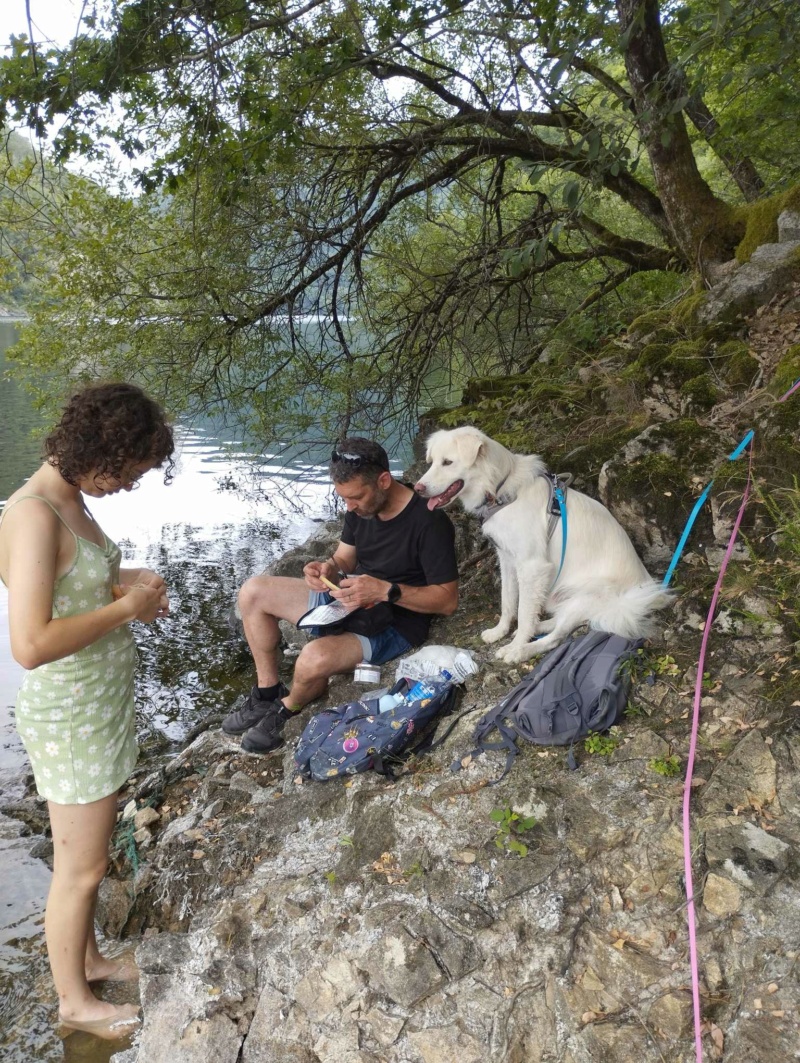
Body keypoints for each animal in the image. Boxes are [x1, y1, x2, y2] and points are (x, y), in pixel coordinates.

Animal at [414, 425, 671, 659]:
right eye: (432, 462)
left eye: (448, 462)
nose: (418, 489)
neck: (499, 489)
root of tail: (649, 598)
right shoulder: (507, 560)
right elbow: (508, 602)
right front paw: (500, 631)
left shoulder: (532, 566)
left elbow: (524, 611)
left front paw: (516, 645)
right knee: (555, 621)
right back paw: (536, 627)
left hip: (588, 596)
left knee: (556, 637)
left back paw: (521, 651)